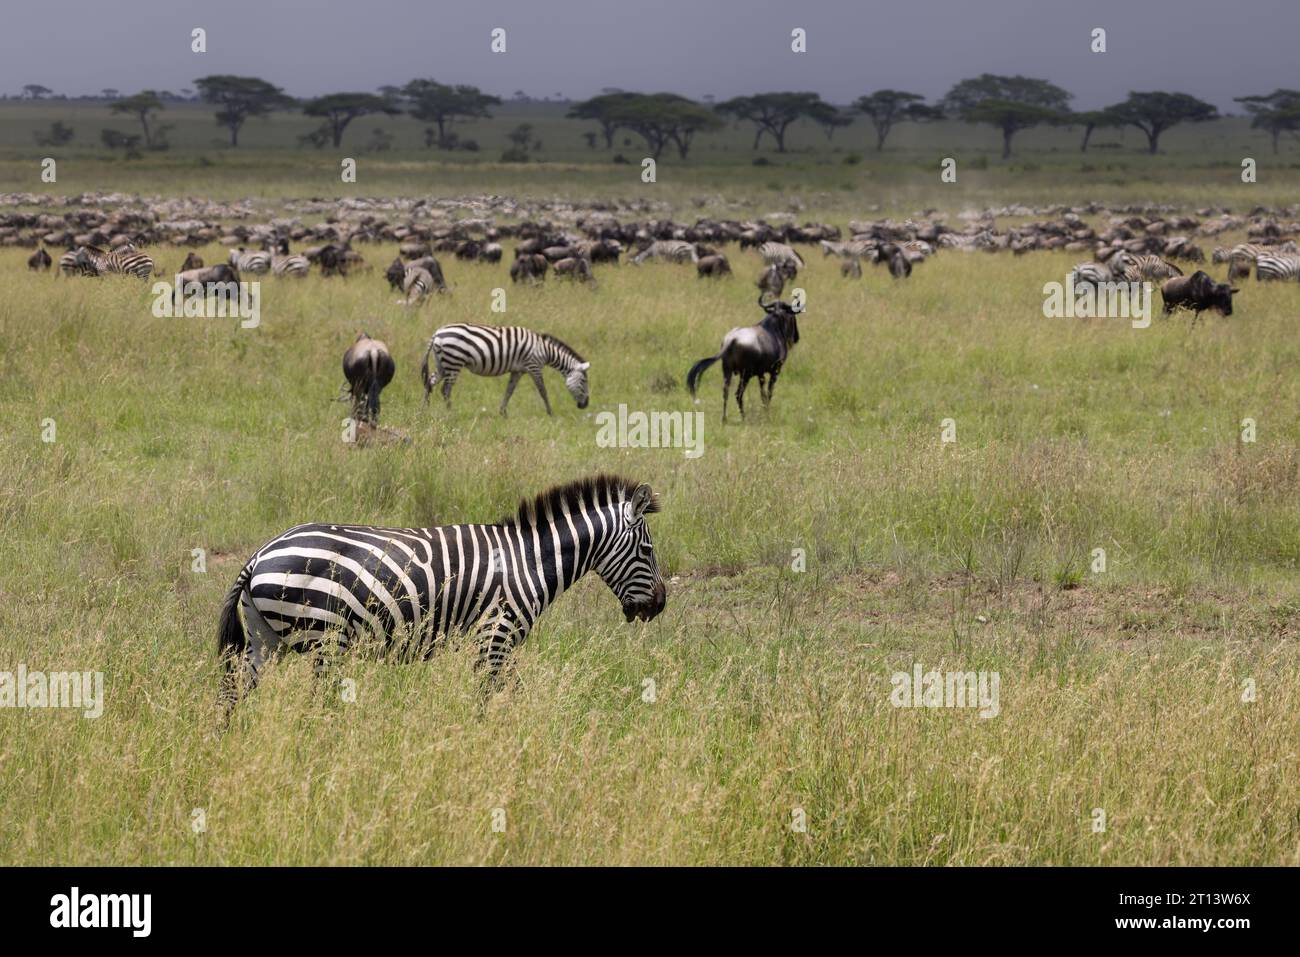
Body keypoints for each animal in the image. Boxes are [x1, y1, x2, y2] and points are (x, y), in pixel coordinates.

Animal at [216, 474, 667, 714]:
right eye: (647, 550)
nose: (659, 606)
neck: (530, 561)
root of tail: (259, 554)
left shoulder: (495, 645)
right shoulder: (497, 637)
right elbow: (498, 695)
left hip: (265, 639)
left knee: (235, 694)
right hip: (324, 638)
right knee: (316, 704)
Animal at [422, 323, 590, 415]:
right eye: (583, 381)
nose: (585, 405)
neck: (544, 350)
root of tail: (437, 332)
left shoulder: (518, 370)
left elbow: (509, 391)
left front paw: (503, 413)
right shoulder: (534, 366)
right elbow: (543, 391)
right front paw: (550, 413)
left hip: (442, 363)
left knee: (430, 382)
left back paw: (424, 409)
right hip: (454, 362)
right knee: (445, 389)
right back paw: (450, 412)